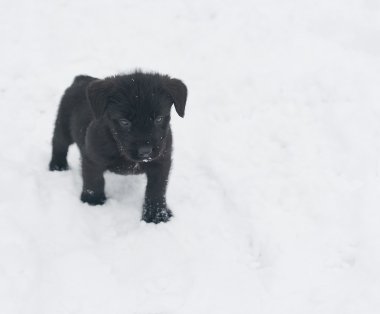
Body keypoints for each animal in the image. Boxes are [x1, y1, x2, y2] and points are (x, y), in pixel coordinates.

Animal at [48, 71, 188, 223]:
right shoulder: (92, 159)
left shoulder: (161, 162)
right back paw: (58, 165)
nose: (145, 151)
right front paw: (93, 201)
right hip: (63, 126)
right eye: (124, 122)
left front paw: (156, 215)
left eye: (159, 119)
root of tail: (81, 78)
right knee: (58, 144)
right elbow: (94, 180)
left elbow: (156, 189)